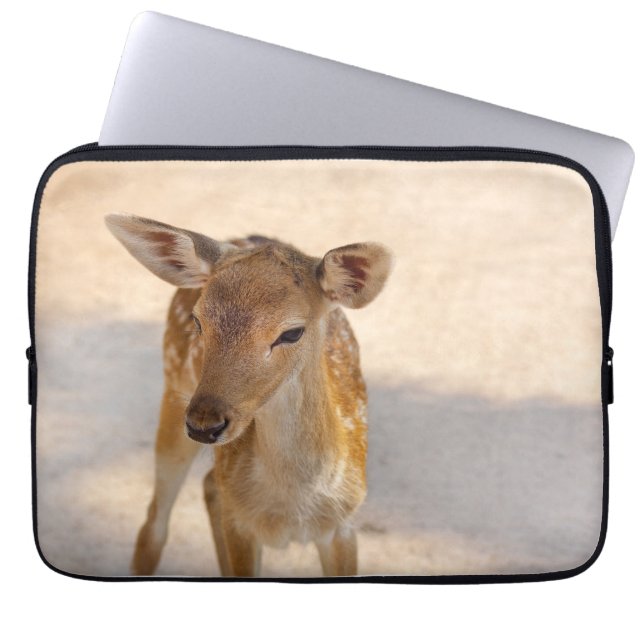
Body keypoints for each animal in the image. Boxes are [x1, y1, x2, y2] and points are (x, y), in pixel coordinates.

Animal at [105, 214, 393, 577]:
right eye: (198, 320)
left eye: (292, 332)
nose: (204, 424)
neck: (290, 509)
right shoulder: (241, 525)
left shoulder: (344, 524)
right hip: (173, 393)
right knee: (154, 524)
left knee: (209, 485)